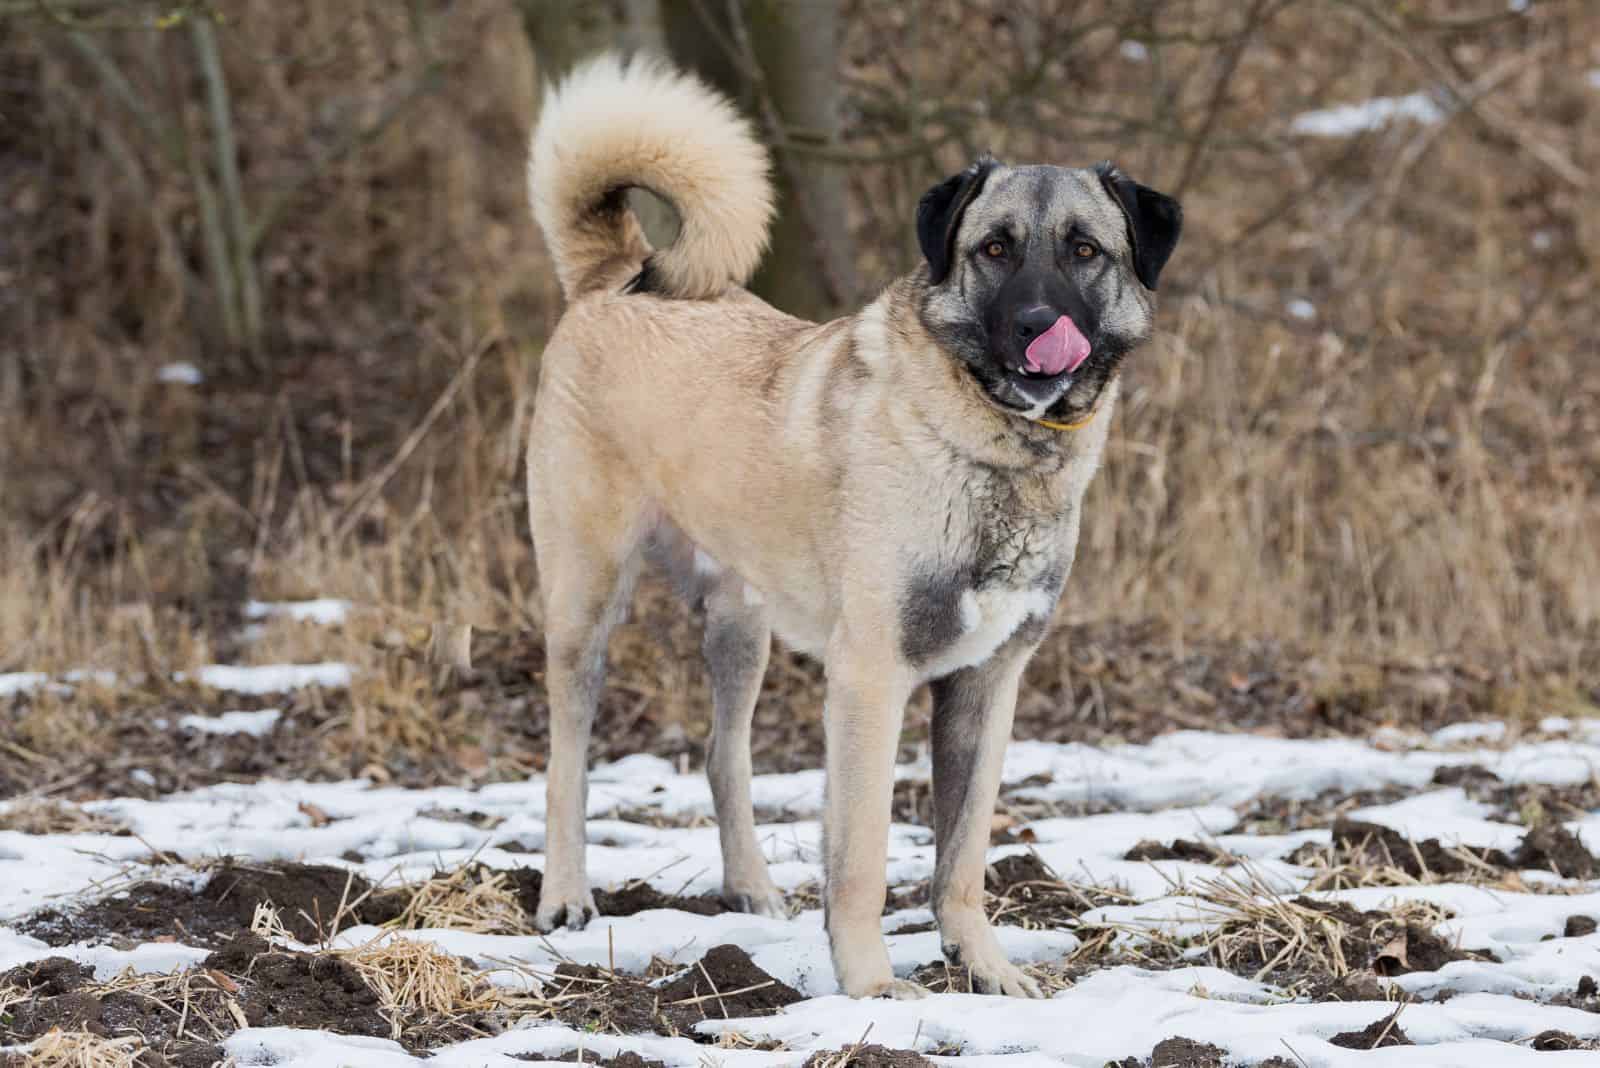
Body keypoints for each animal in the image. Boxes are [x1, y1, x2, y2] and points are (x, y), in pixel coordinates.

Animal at [521, 54, 1177, 997]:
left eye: (1085, 250)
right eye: (994, 248)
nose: (1035, 327)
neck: (991, 447)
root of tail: (619, 274)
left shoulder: (988, 685)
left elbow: (962, 857)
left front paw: (983, 968)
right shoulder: (872, 677)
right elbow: (863, 854)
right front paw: (870, 985)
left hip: (740, 625)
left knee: (724, 755)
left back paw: (751, 890)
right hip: (586, 602)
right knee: (567, 757)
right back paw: (566, 898)